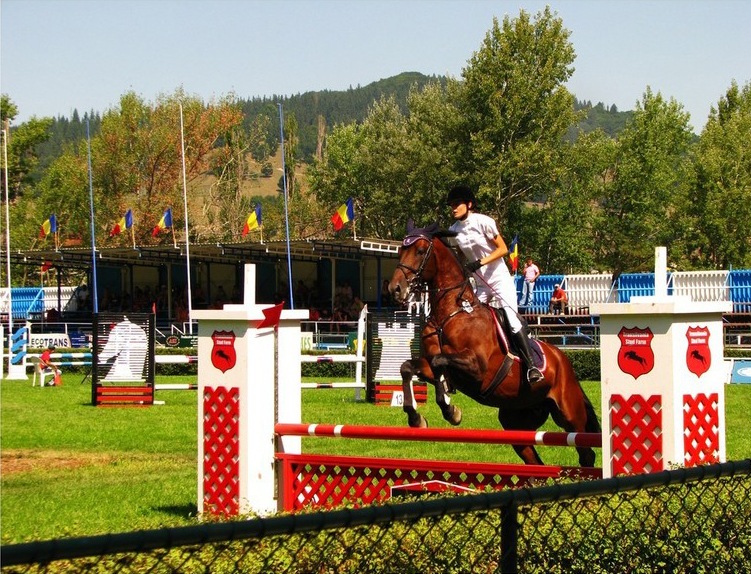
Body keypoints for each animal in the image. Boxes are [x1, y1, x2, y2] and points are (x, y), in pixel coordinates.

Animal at [390, 220, 604, 468]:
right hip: (517, 418)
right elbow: (408, 367)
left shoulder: (477, 368)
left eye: (420, 250)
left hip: (569, 413)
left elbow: (439, 361)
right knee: (532, 457)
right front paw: (418, 417)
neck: (451, 313)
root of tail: (563, 360)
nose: (395, 288)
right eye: (401, 250)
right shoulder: (430, 362)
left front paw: (450, 409)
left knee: (585, 452)